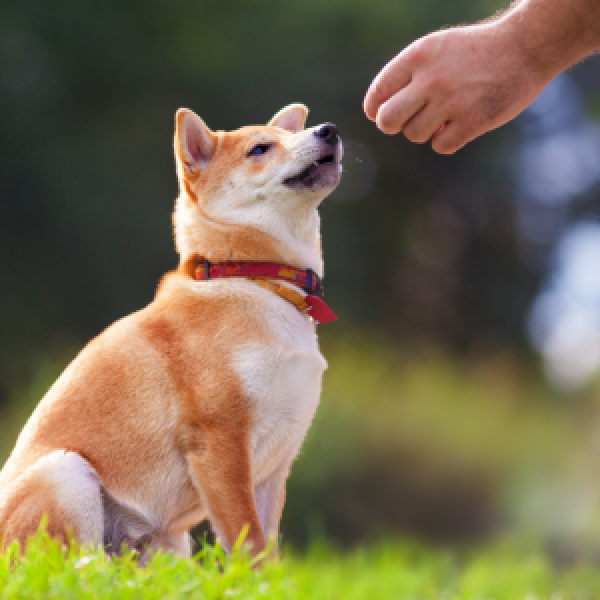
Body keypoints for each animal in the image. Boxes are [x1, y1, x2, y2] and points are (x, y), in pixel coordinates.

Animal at [0, 105, 342, 560]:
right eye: (260, 149)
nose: (329, 130)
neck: (254, 279)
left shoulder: (275, 464)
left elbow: (267, 549)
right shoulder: (219, 442)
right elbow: (247, 538)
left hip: (167, 543)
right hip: (67, 472)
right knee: (70, 564)